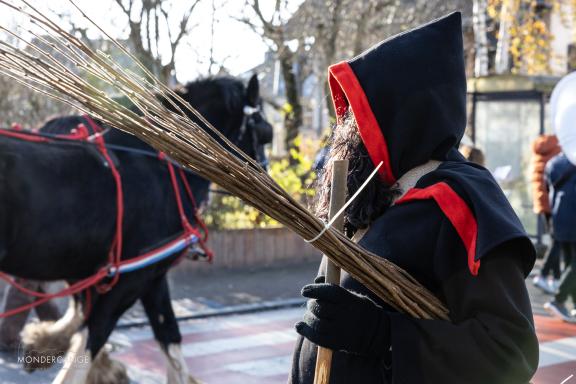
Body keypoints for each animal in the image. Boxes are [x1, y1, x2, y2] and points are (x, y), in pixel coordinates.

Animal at [0, 73, 272, 382]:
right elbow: (90, 340)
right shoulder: (129, 278)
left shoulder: (149, 276)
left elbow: (169, 335)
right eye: (264, 132)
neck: (160, 166)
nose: (267, 186)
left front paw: (46, 343)